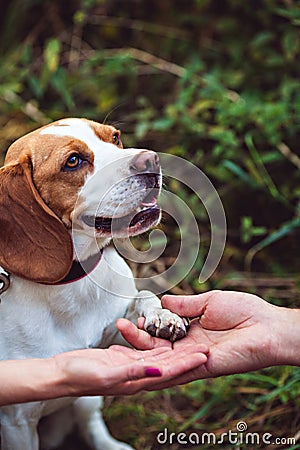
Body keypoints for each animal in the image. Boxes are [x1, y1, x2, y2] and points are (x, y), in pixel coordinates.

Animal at [0, 118, 188, 450]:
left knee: (89, 423)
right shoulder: (17, 422)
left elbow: (144, 295)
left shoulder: (115, 336)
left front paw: (162, 317)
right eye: (73, 161)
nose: (151, 160)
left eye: (115, 137)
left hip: (86, 400)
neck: (71, 283)